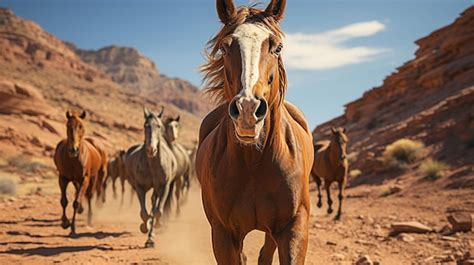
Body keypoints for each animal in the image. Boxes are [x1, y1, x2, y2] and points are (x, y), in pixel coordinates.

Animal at [123, 106, 177, 246]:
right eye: (145, 125)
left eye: (158, 126)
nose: (151, 150)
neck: (152, 165)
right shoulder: (140, 187)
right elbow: (144, 213)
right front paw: (144, 227)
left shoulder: (164, 187)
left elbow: (158, 211)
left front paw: (154, 230)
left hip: (157, 189)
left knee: (155, 205)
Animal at [196, 1, 314, 262]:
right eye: (224, 47)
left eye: (277, 47)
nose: (248, 109)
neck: (254, 162)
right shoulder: (223, 233)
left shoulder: (294, 226)